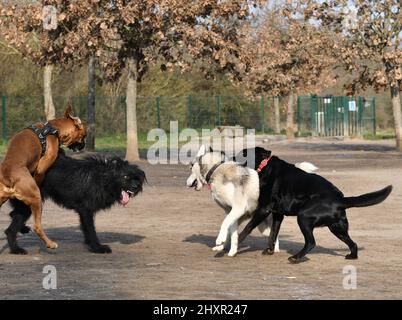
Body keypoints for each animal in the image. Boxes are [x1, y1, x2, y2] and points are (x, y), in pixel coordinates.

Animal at [0, 104, 85, 250]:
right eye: (84, 135)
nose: (84, 144)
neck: (54, 128)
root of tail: (7, 175)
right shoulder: (42, 167)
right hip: (36, 198)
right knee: (37, 226)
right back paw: (50, 243)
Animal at [5, 152, 146, 255]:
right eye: (125, 177)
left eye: (137, 178)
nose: (135, 187)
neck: (103, 178)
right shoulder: (86, 210)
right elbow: (91, 230)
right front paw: (97, 247)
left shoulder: (85, 212)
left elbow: (87, 229)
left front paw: (90, 244)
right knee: (10, 230)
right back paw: (16, 250)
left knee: (13, 215)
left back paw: (22, 231)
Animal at [237, 146, 392, 264]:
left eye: (242, 154)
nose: (232, 157)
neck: (265, 166)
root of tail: (340, 199)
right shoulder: (278, 214)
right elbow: (273, 234)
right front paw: (269, 250)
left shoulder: (264, 209)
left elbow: (248, 227)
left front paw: (236, 243)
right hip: (337, 227)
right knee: (353, 243)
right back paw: (352, 256)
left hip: (304, 217)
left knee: (311, 242)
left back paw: (295, 258)